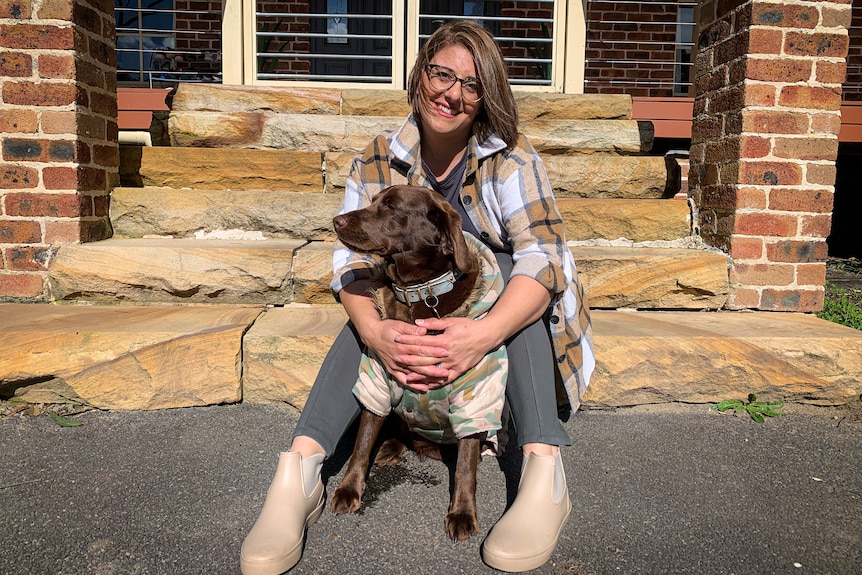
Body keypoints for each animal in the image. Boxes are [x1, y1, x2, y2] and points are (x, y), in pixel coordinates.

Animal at [330, 187, 506, 544]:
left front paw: (462, 513)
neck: (419, 291)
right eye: (373, 200)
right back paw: (389, 448)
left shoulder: (474, 391)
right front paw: (349, 488)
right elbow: (362, 442)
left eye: (391, 206)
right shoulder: (378, 378)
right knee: (399, 429)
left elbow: (466, 465)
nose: (336, 220)